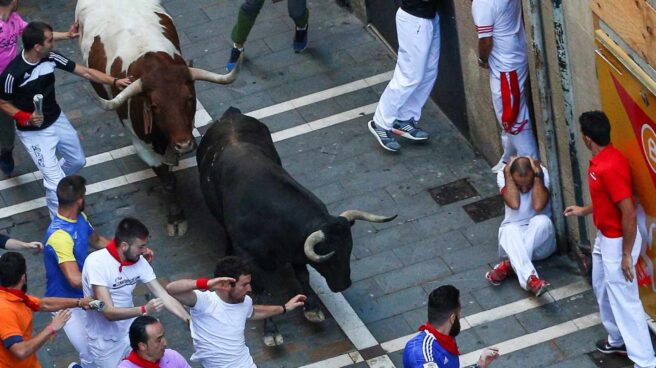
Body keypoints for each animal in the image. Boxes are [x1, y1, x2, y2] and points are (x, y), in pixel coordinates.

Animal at [76, 0, 241, 234]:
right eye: (154, 106)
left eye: (189, 98)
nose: (183, 144)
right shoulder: (145, 148)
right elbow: (167, 180)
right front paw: (176, 218)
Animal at [196, 107, 394, 344]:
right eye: (330, 255)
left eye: (349, 250)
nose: (344, 284)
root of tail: (230, 114)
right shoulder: (249, 258)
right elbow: (261, 291)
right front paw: (271, 331)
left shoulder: (297, 249)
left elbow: (303, 277)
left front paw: (312, 308)